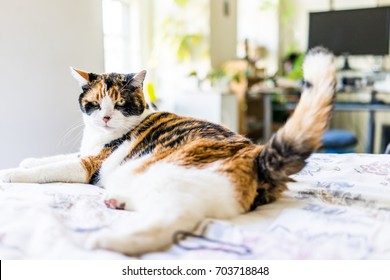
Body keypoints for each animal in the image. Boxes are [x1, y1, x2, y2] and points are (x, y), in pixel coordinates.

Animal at [0, 48, 336, 256]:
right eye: (95, 104)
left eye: (120, 104)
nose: (106, 117)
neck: (100, 137)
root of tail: (256, 156)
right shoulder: (87, 153)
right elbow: (54, 157)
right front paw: (27, 159)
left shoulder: (90, 164)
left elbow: (50, 170)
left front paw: (11, 173)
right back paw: (117, 201)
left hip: (170, 178)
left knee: (173, 220)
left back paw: (106, 240)